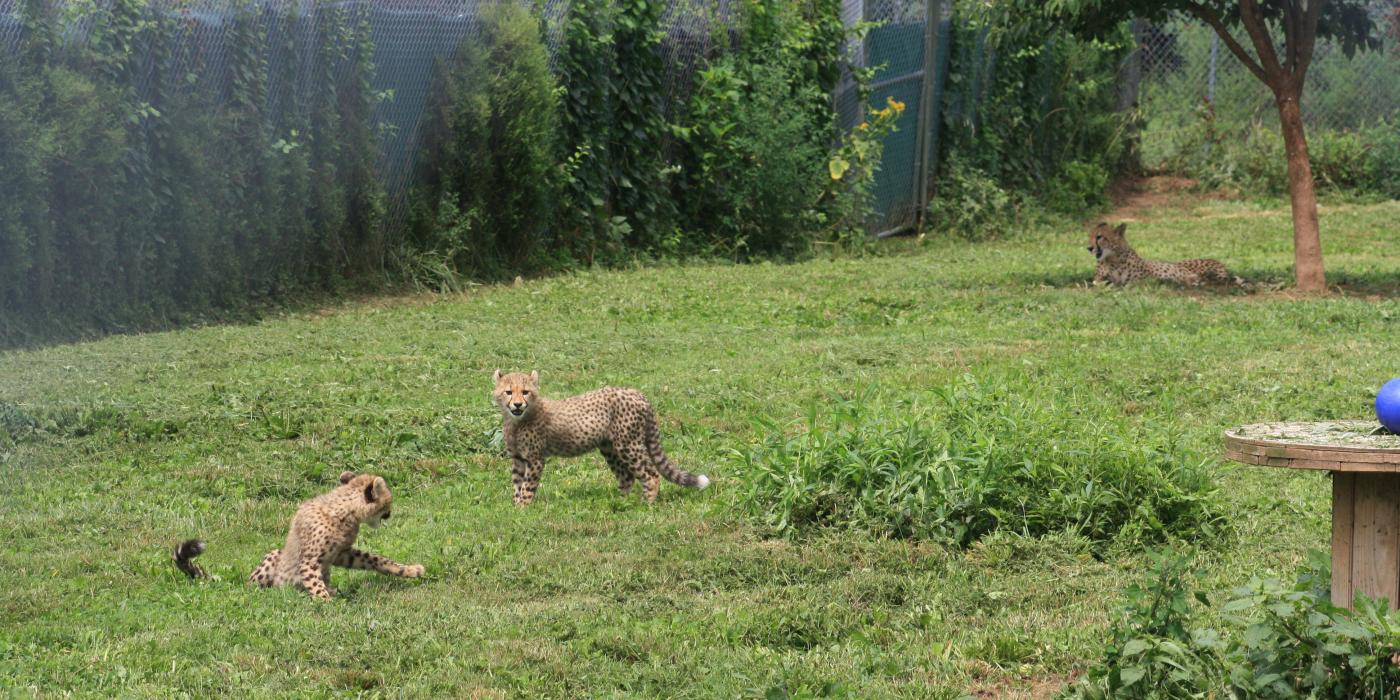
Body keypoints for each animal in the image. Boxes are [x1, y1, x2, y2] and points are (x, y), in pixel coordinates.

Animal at [171, 467, 420, 599]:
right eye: (387, 502)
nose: (390, 513)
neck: (345, 513)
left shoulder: (342, 553)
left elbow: (376, 559)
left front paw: (409, 570)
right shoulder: (310, 560)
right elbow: (315, 583)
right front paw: (326, 602)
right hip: (273, 557)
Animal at [492, 369, 711, 506]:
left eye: (526, 392)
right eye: (508, 392)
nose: (518, 404)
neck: (517, 421)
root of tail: (637, 392)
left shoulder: (536, 458)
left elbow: (528, 486)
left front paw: (524, 507)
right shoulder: (518, 458)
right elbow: (517, 483)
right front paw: (515, 507)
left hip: (628, 445)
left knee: (651, 474)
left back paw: (645, 504)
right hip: (609, 448)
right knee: (626, 477)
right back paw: (621, 503)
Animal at [1086, 221, 1243, 287]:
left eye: (1099, 237)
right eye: (1090, 236)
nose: (1089, 248)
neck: (1113, 259)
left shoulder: (1140, 280)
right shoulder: (1100, 278)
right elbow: (1099, 281)